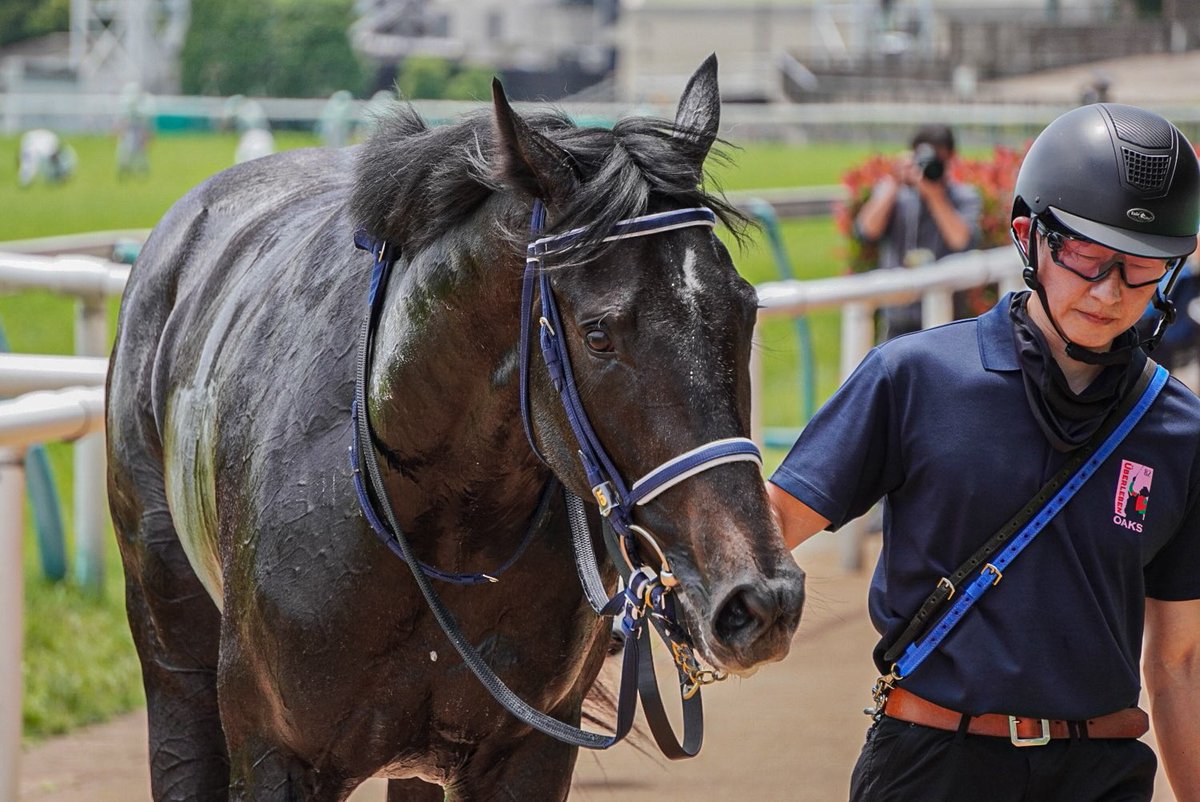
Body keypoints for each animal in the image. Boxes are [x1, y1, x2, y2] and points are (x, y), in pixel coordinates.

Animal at [106, 55, 806, 801]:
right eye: (598, 335)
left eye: (745, 308)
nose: (761, 599)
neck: (434, 516)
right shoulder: (273, 753)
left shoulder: (527, 750)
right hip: (173, 655)